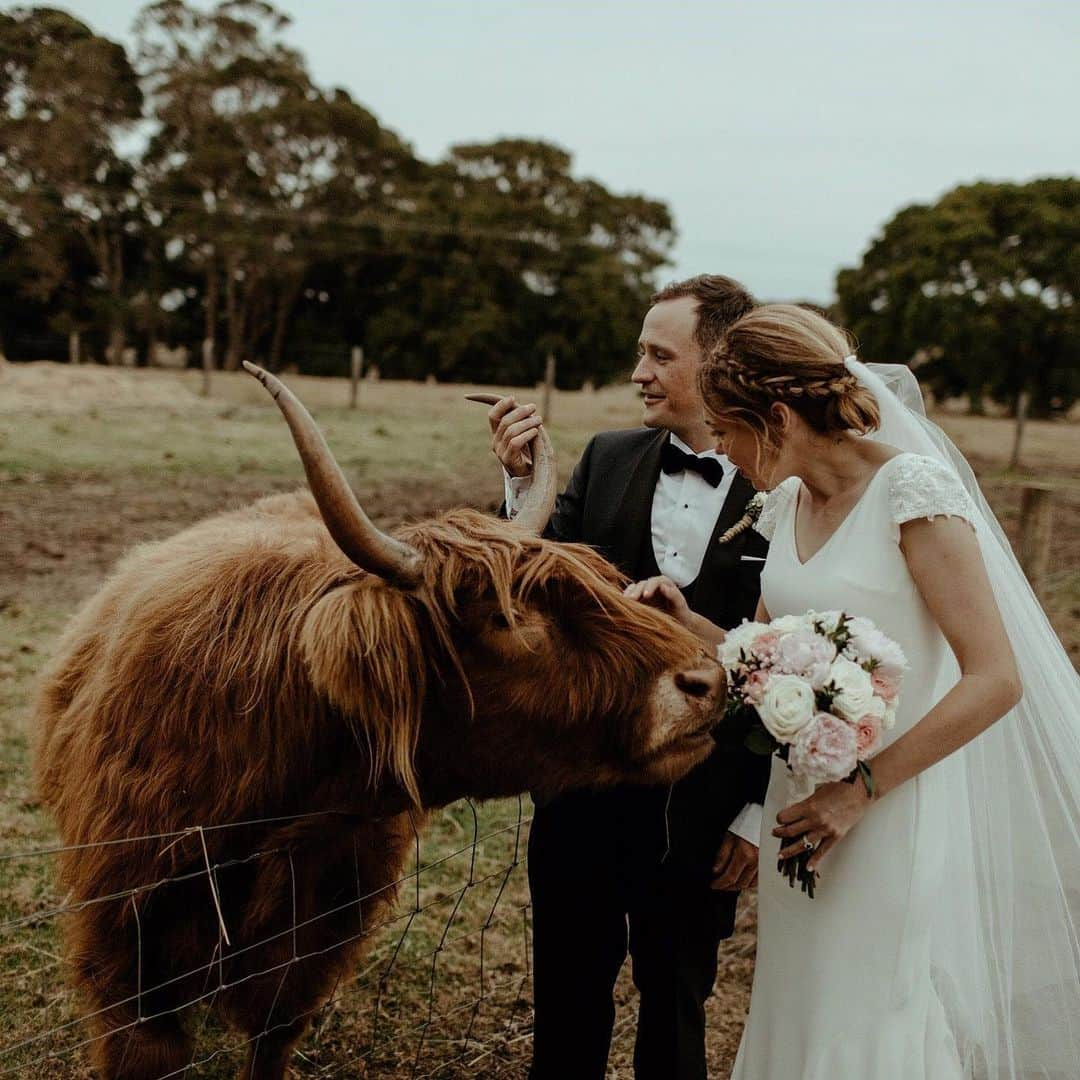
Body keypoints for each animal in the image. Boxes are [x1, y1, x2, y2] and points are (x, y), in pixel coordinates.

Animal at [33, 367, 725, 1075]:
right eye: (505, 619)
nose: (707, 680)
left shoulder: (314, 941)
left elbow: (272, 1035)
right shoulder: (125, 949)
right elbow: (150, 1048)